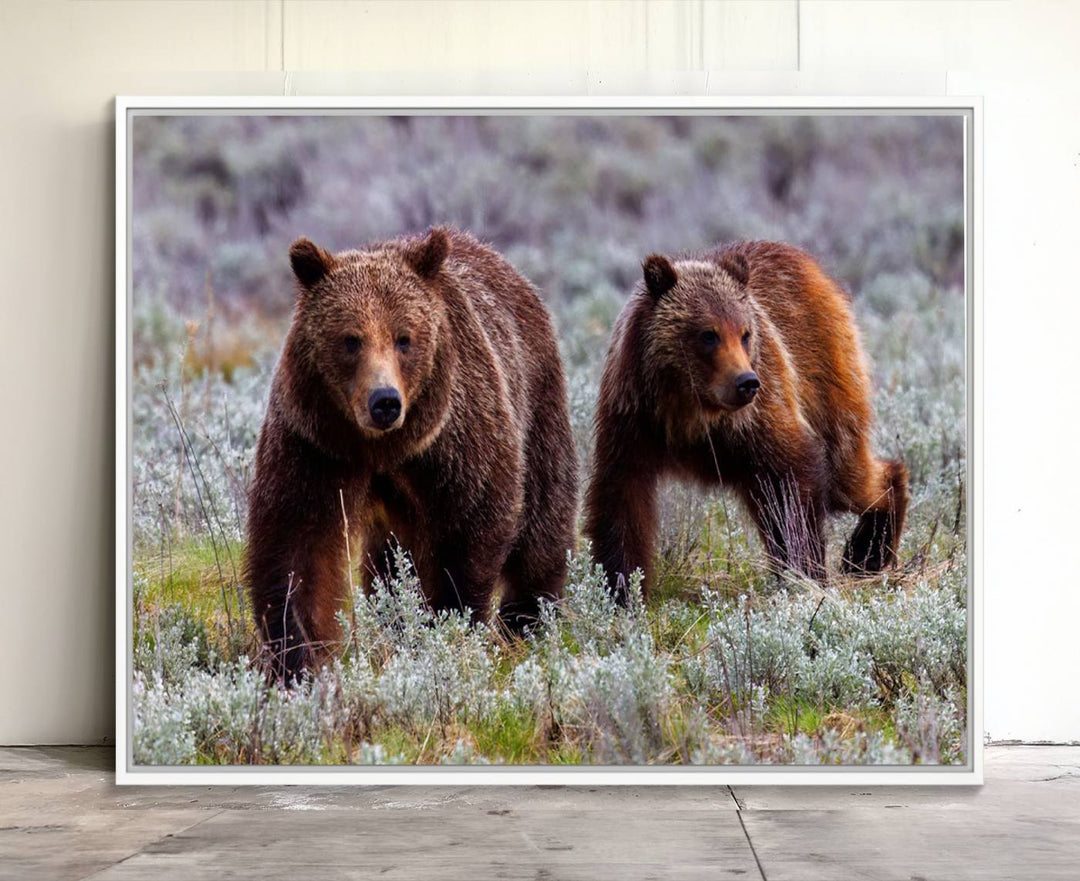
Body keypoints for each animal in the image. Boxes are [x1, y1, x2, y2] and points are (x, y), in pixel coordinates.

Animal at [247, 225, 578, 673]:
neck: (383, 449)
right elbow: (297, 546)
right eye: (351, 339)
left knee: (543, 516)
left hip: (537, 399)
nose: (385, 401)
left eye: (404, 338)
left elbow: (470, 528)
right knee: (386, 562)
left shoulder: (455, 442)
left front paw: (450, 622)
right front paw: (298, 655)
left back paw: (526, 617)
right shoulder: (315, 445)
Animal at [587, 239, 907, 600]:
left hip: (825, 373)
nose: (746, 382)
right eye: (708, 334)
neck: (690, 409)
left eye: (745, 333)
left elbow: (793, 481)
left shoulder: (759, 417)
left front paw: (805, 571)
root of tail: (811, 266)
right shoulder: (633, 417)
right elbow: (621, 496)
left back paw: (867, 551)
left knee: (847, 473)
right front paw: (619, 588)